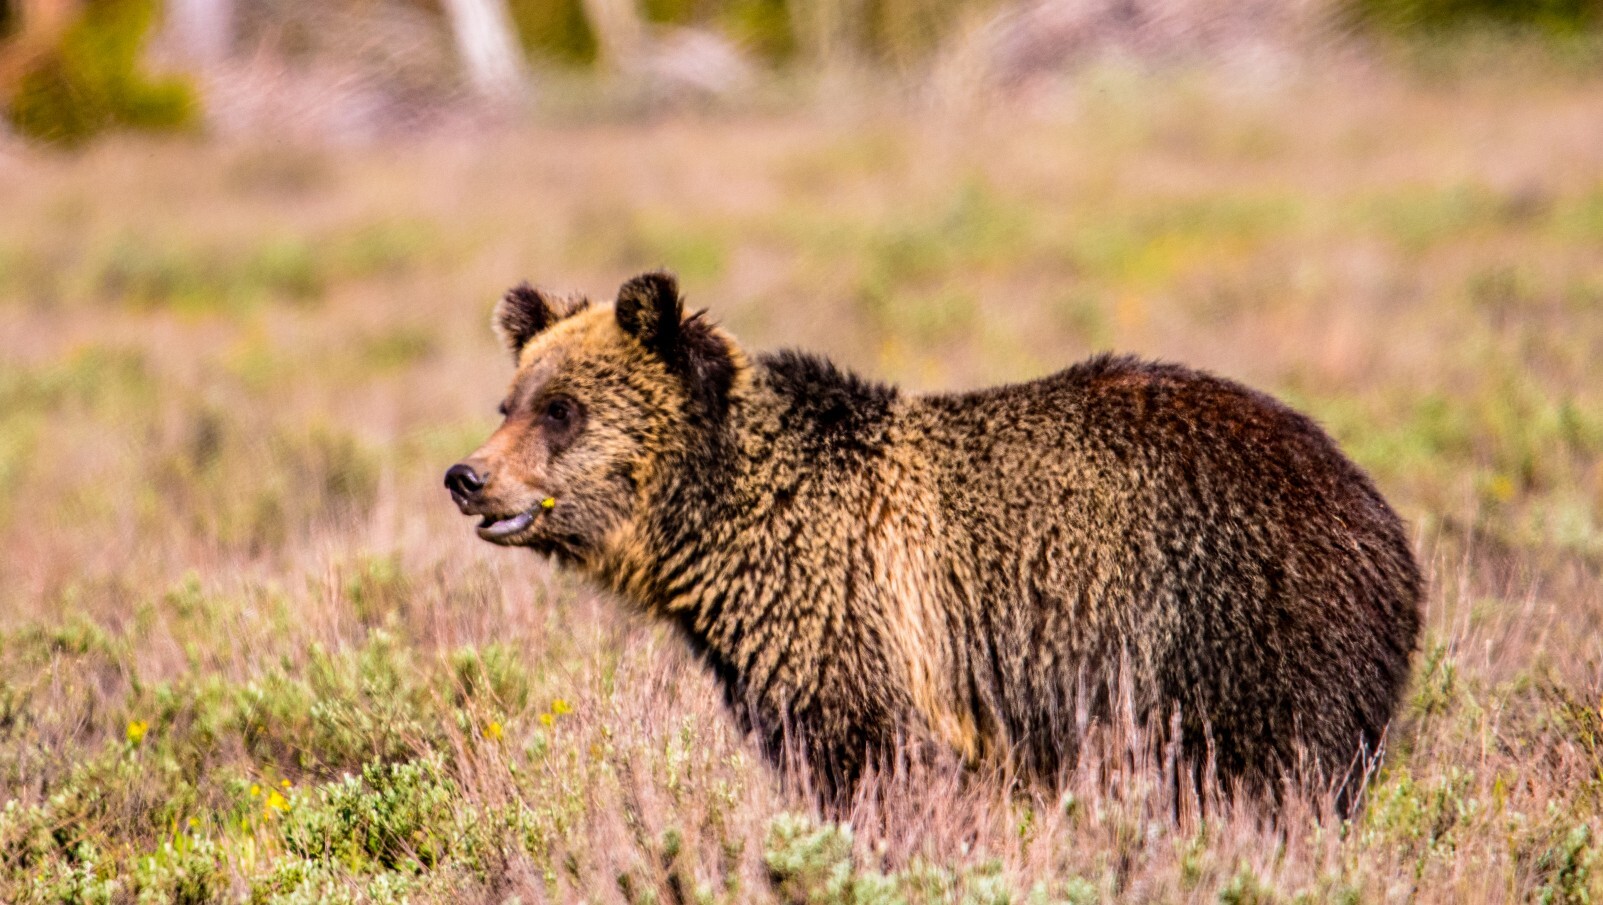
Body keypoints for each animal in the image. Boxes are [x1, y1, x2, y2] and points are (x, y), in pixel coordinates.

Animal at [445, 270, 1423, 814]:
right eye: (509, 400)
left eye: (561, 409)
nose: (466, 475)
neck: (727, 527)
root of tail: (1374, 507)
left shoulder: (857, 627)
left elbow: (875, 770)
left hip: (1242, 626)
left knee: (1277, 773)